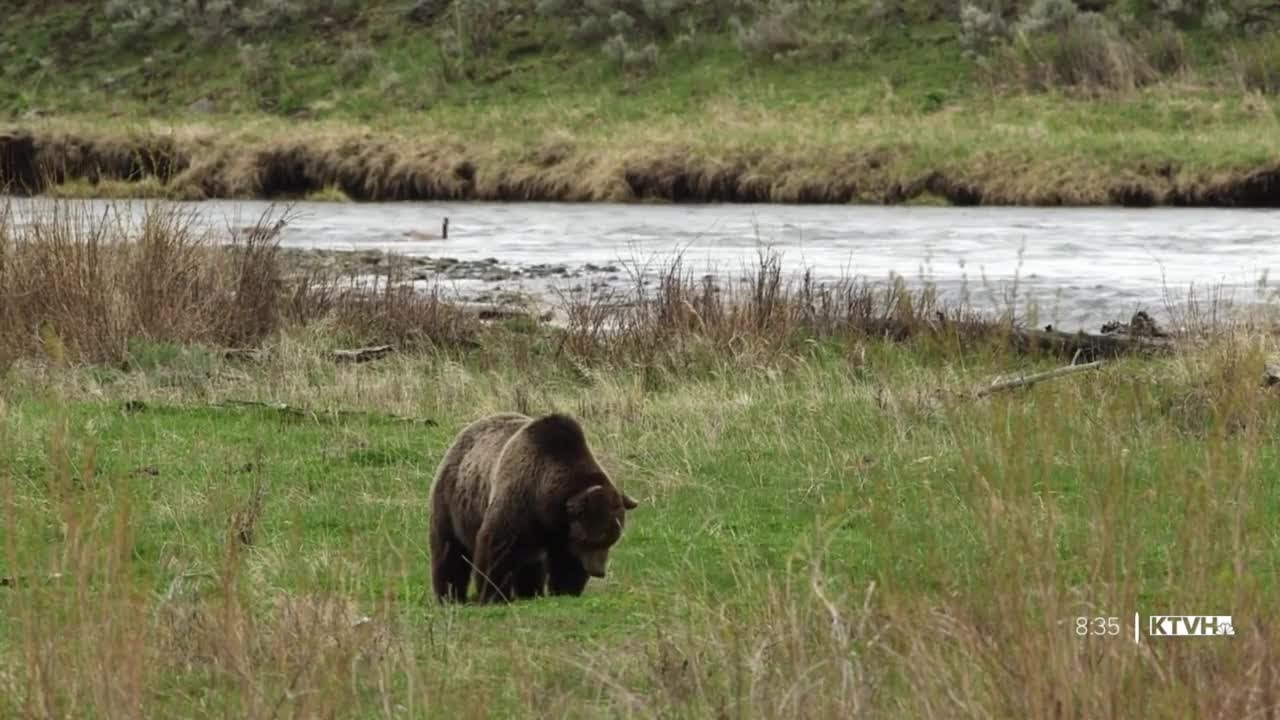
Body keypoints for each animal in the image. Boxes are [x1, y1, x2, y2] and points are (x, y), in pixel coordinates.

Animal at [428, 412, 638, 603]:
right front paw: (494, 594)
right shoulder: (518, 498)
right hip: (454, 502)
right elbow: (495, 547)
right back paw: (449, 595)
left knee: (530, 563)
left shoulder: (562, 530)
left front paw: (566, 589)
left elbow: (567, 560)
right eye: (593, 540)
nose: (599, 571)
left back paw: (529, 592)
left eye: (611, 540)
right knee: (449, 550)